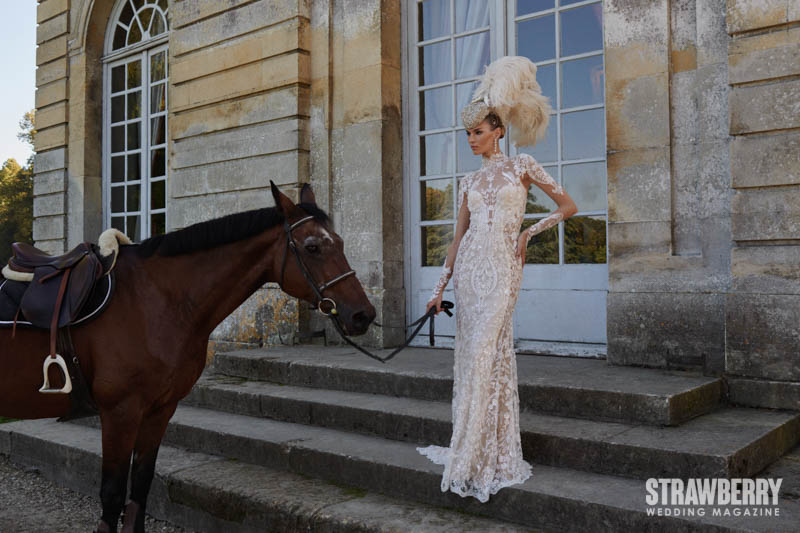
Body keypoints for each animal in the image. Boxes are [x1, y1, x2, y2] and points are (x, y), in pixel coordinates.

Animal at [0, 181, 376, 528]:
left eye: (340, 242)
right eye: (312, 247)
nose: (363, 314)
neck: (156, 301)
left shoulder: (159, 410)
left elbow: (139, 492)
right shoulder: (120, 413)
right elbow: (112, 497)